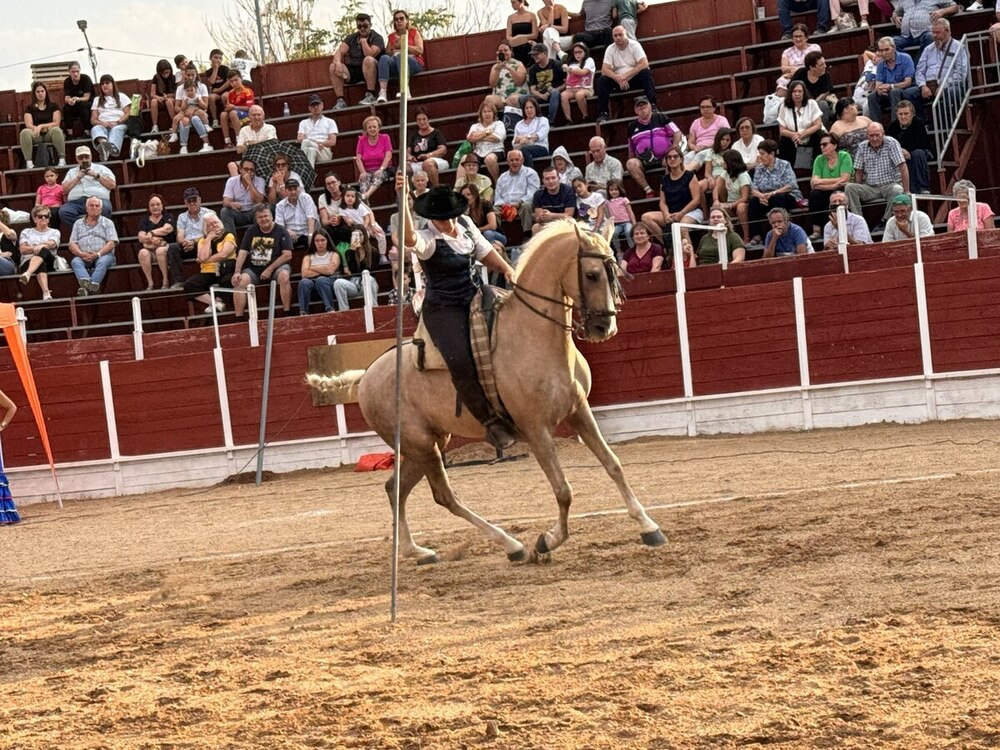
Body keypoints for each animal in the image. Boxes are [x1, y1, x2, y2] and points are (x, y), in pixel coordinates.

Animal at [312, 220, 664, 568]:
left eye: (613, 272)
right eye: (591, 274)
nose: (604, 328)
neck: (533, 335)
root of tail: (367, 377)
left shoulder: (579, 411)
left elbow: (613, 464)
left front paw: (649, 526)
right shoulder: (536, 429)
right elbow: (563, 489)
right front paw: (547, 541)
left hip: (427, 444)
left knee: (394, 488)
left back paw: (417, 551)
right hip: (421, 445)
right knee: (443, 496)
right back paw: (512, 545)